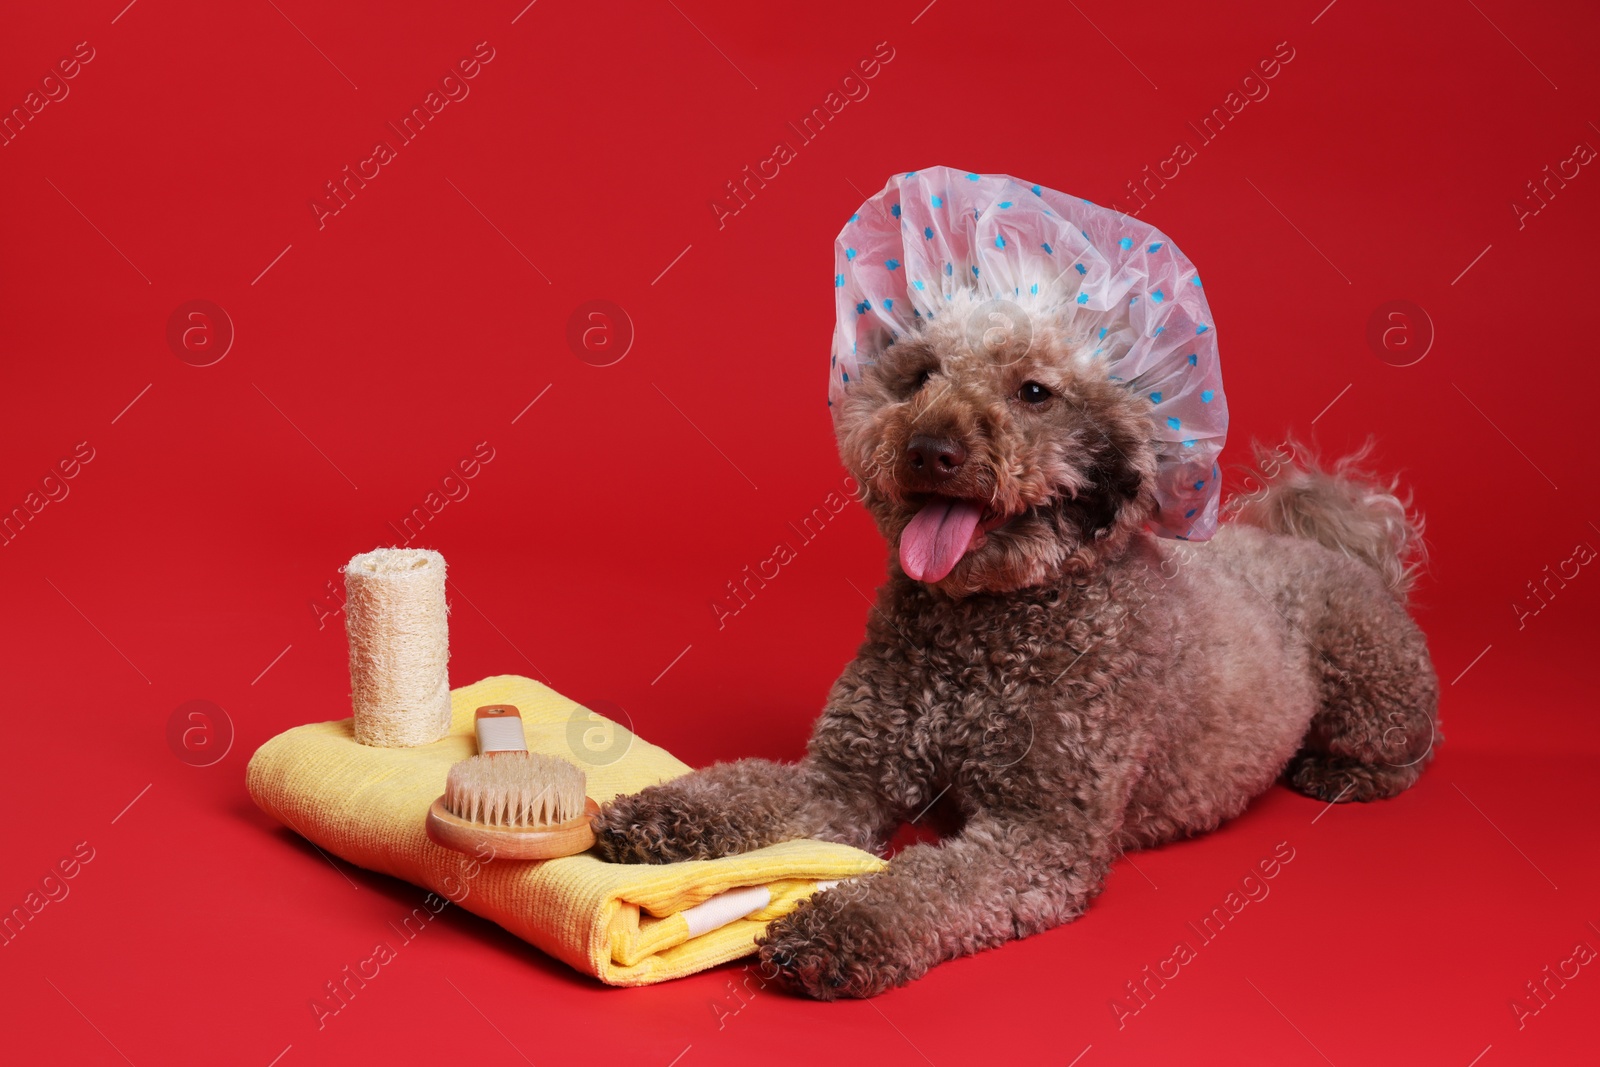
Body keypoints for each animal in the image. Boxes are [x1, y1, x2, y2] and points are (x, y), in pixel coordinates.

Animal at [595, 286, 1446, 1004]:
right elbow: (749, 789)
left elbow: (926, 884)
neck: (983, 626)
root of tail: (1333, 545)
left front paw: (839, 927)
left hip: (1371, 687)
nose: (929, 446)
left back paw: (1341, 773)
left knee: (1412, 747)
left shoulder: (1039, 836)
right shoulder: (845, 780)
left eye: (1034, 392)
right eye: (919, 376)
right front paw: (661, 814)